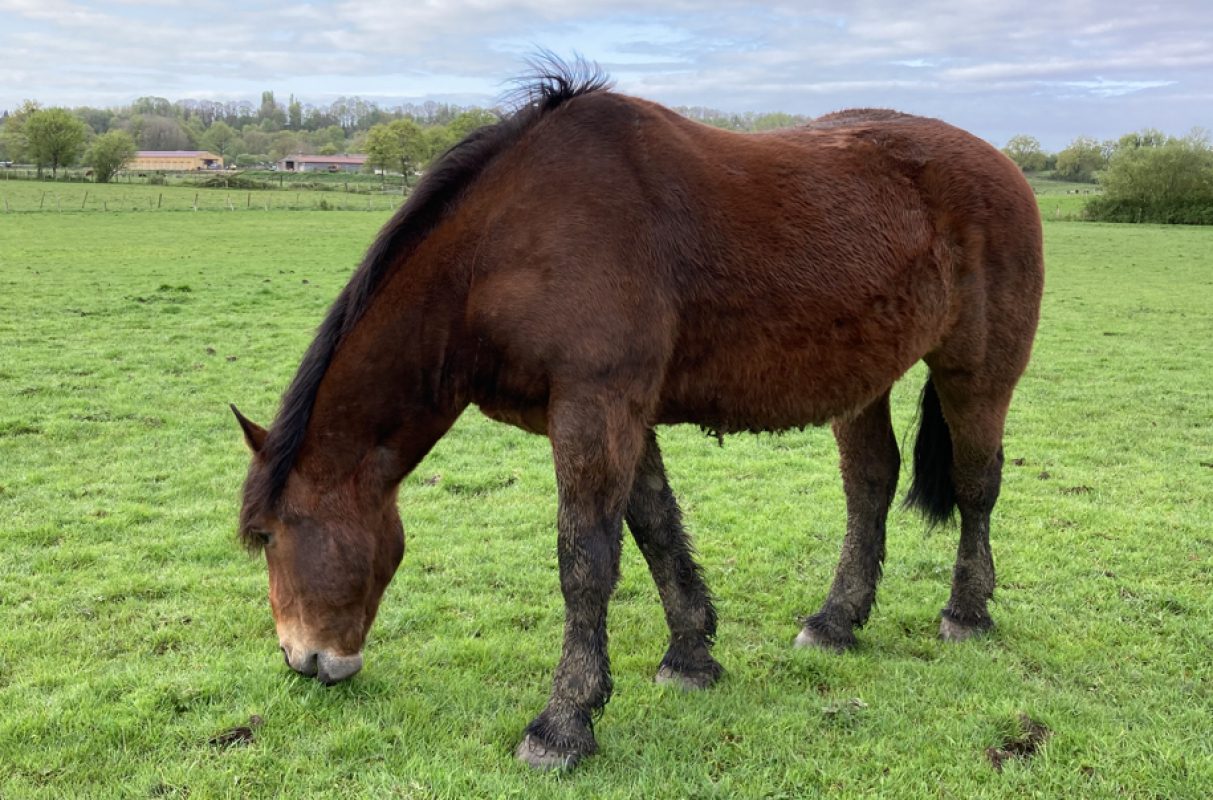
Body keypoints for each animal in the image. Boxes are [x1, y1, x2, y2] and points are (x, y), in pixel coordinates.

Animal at [233, 62, 1043, 770]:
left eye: (269, 535)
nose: (303, 660)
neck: (506, 245)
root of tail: (1002, 167)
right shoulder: (620, 416)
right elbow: (654, 528)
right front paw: (690, 654)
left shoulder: (594, 410)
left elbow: (586, 562)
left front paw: (564, 723)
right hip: (863, 380)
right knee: (870, 484)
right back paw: (836, 620)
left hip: (976, 372)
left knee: (976, 484)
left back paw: (966, 612)